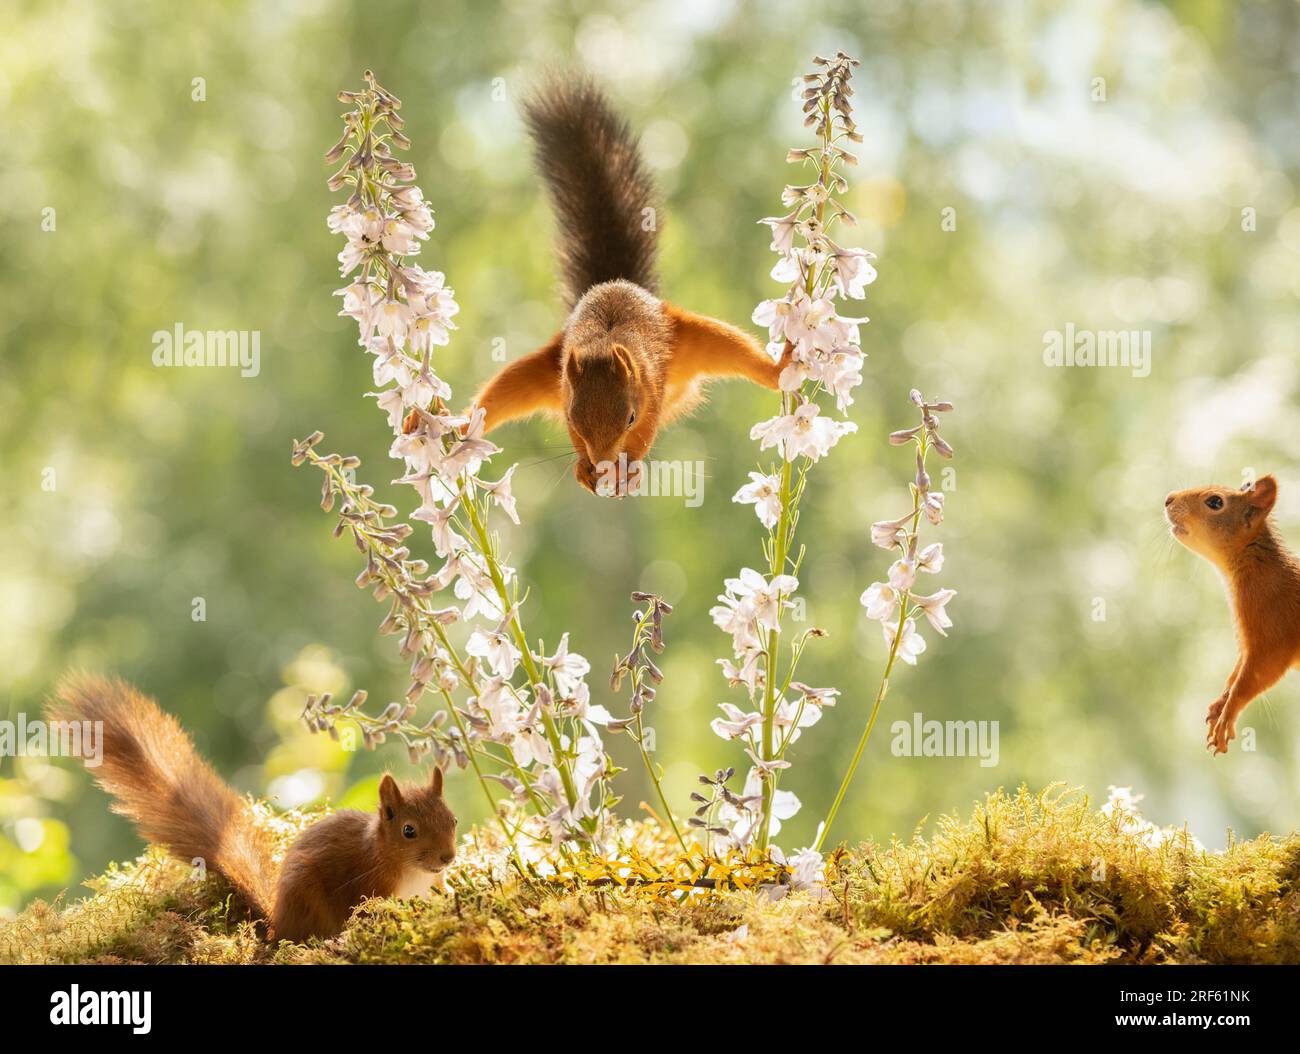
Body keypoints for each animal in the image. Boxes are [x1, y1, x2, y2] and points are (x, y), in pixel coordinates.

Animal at [467, 74, 790, 493]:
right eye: (574, 420)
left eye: (631, 418)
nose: (602, 461)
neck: (602, 343)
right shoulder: (566, 388)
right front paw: (583, 469)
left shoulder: (651, 387)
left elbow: (647, 433)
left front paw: (629, 466)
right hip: (539, 370)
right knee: (497, 397)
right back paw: (455, 429)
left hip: (697, 338)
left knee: (740, 353)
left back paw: (779, 369)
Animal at [1164, 473, 1300, 753]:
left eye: (1215, 502)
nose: (1168, 498)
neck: (1254, 563)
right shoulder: (1248, 642)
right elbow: (1236, 673)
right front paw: (1219, 705)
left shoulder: (1274, 634)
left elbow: (1251, 678)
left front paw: (1227, 716)